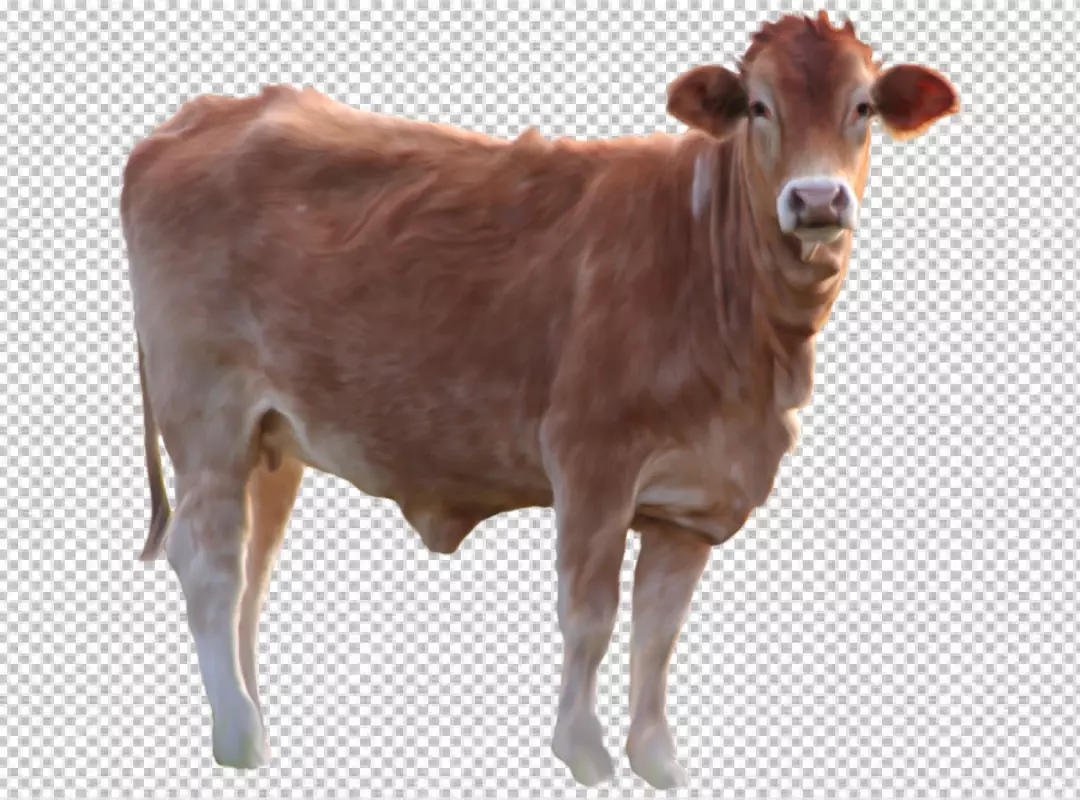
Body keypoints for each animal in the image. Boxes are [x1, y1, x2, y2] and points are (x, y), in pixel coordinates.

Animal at [120, 11, 958, 789]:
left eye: (862, 106)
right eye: (759, 106)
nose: (816, 199)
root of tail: (198, 117)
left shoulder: (694, 499)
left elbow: (659, 631)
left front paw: (658, 760)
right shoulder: (591, 459)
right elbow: (591, 617)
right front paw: (584, 752)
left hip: (272, 440)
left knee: (252, 573)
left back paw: (253, 722)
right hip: (207, 416)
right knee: (211, 565)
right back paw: (239, 735)